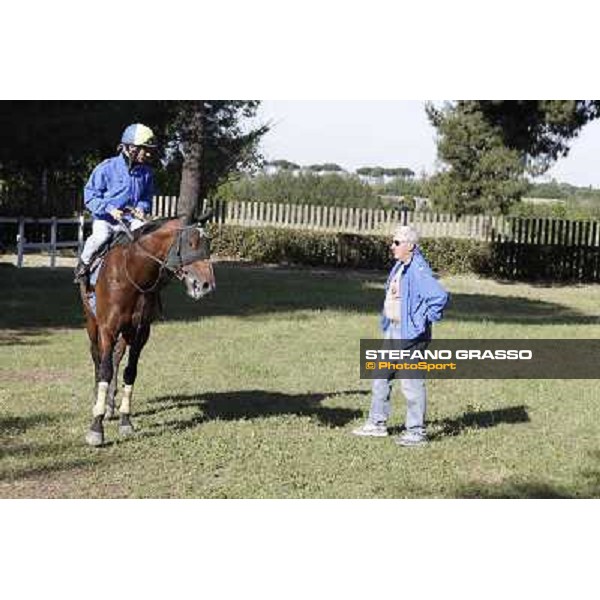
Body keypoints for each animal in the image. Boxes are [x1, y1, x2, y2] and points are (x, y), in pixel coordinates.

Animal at [78, 214, 216, 446]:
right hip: (92, 322)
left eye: (208, 244)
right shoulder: (107, 329)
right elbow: (104, 370)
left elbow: (130, 372)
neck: (132, 275)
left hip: (125, 333)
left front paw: (125, 420)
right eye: (191, 243)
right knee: (98, 358)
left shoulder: (141, 332)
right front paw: (96, 427)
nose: (207, 285)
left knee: (116, 358)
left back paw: (110, 405)